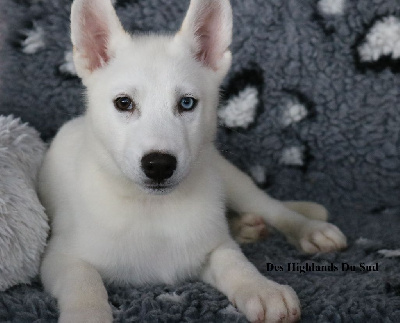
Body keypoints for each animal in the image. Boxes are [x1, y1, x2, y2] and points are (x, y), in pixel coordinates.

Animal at [38, 0, 346, 322]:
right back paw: (246, 227)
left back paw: (310, 229)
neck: (152, 209)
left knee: (272, 207)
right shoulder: (60, 257)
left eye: (187, 103)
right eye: (124, 103)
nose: (159, 165)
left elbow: (235, 262)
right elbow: (84, 282)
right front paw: (87, 314)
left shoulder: (213, 246)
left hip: (231, 178)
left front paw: (262, 289)